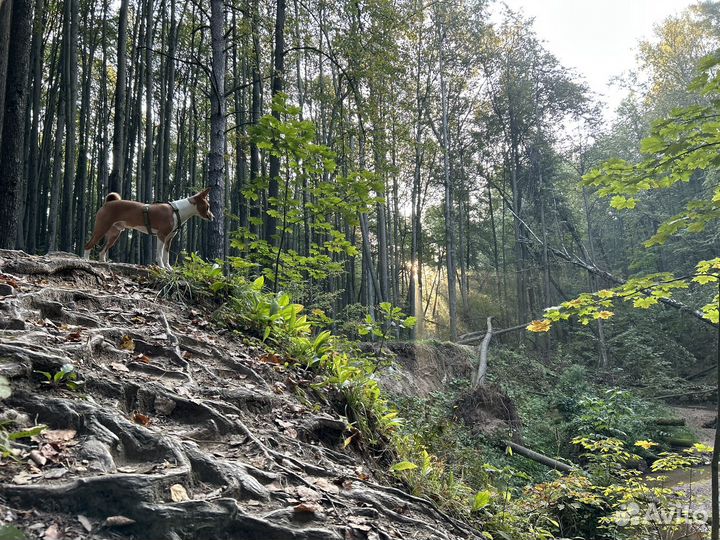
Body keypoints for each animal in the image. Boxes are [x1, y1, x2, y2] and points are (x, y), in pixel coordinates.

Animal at [84, 189, 214, 270]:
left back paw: (103, 262)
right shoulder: (161, 236)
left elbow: (166, 256)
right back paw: (86, 261)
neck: (177, 211)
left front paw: (169, 268)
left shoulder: (169, 239)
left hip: (114, 235)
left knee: (102, 251)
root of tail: (108, 202)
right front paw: (162, 267)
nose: (213, 217)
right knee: (88, 245)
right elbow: (160, 255)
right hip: (101, 229)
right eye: (208, 207)